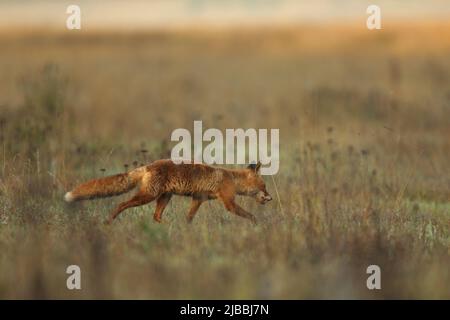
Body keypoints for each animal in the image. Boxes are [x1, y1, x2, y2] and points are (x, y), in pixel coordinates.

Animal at [63, 160, 272, 225]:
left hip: (164, 197)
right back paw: (108, 222)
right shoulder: (228, 202)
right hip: (148, 196)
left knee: (156, 217)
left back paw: (168, 226)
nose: (270, 198)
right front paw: (257, 224)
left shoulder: (198, 199)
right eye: (264, 187)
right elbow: (248, 214)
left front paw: (186, 229)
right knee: (121, 204)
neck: (231, 178)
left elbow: (189, 217)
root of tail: (148, 166)